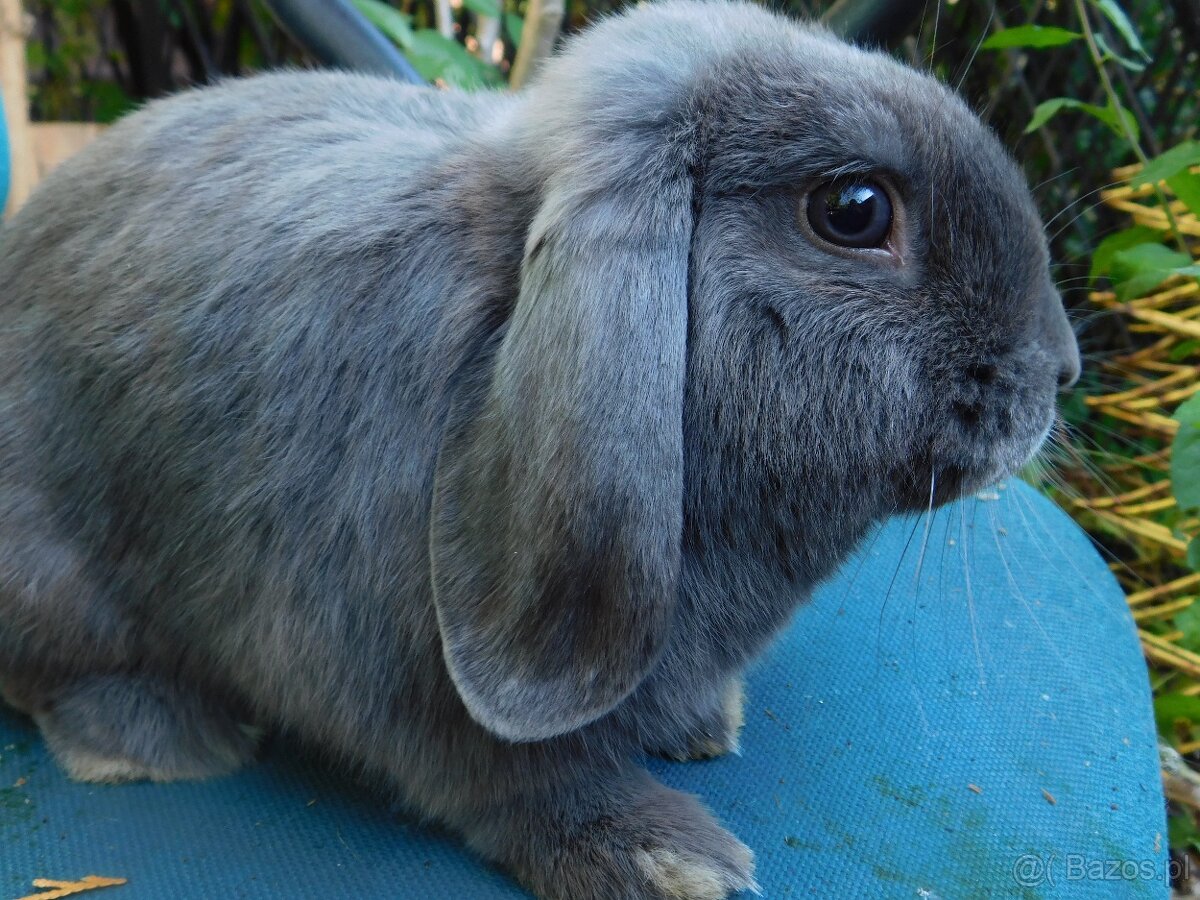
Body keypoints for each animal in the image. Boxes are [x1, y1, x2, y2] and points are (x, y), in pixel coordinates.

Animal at [0, 3, 1080, 897]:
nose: (1061, 368)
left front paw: (701, 729)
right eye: (854, 210)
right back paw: (159, 742)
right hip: (54, 582)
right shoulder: (389, 672)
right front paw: (665, 860)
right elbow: (510, 776)